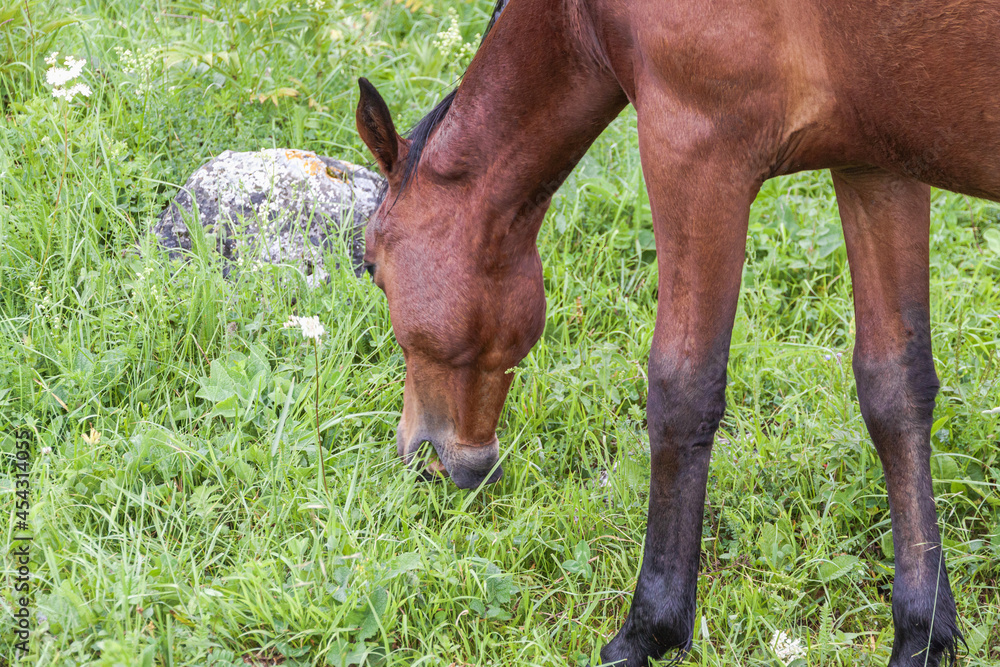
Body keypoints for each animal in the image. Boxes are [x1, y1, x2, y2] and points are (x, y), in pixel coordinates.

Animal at [354, 0, 1000, 664]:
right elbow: (895, 388)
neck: (584, 16)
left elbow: (682, 390)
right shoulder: (878, 165)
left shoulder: (695, 151)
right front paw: (921, 632)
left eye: (370, 265)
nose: (420, 455)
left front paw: (648, 629)